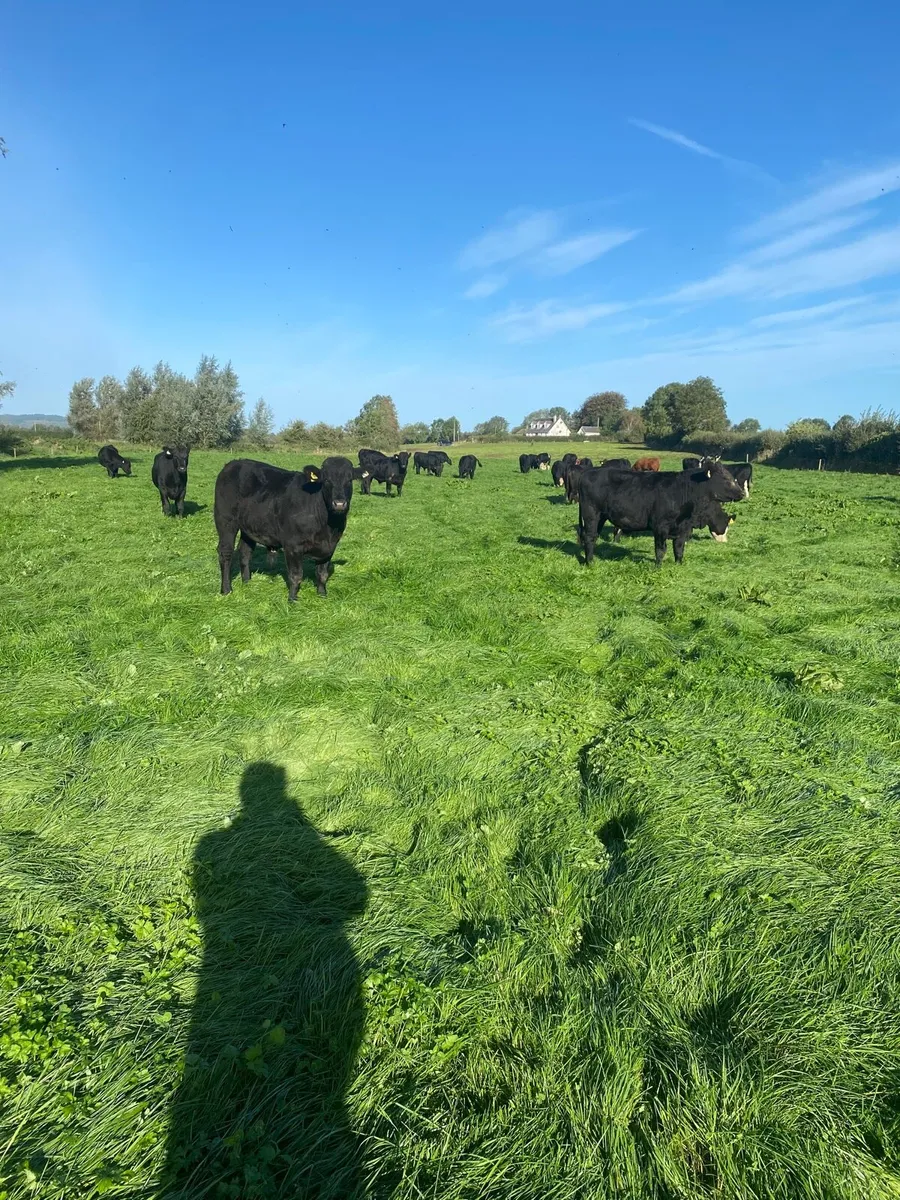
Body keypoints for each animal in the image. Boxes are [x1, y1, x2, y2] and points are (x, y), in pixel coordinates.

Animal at [214, 456, 354, 601]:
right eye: (326, 480)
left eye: (350, 480)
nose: (339, 504)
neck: (327, 527)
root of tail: (235, 462)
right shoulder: (292, 545)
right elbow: (296, 575)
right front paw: (292, 599)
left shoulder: (330, 547)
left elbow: (322, 574)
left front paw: (322, 595)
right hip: (225, 521)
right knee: (225, 552)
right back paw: (226, 590)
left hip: (249, 526)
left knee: (245, 552)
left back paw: (247, 583)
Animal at [578, 463, 745, 565]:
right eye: (726, 479)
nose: (742, 493)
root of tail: (589, 472)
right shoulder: (660, 526)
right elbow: (661, 549)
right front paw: (658, 567)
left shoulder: (683, 528)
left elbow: (679, 547)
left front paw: (679, 564)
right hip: (591, 514)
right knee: (589, 536)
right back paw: (589, 562)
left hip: (601, 516)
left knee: (592, 536)